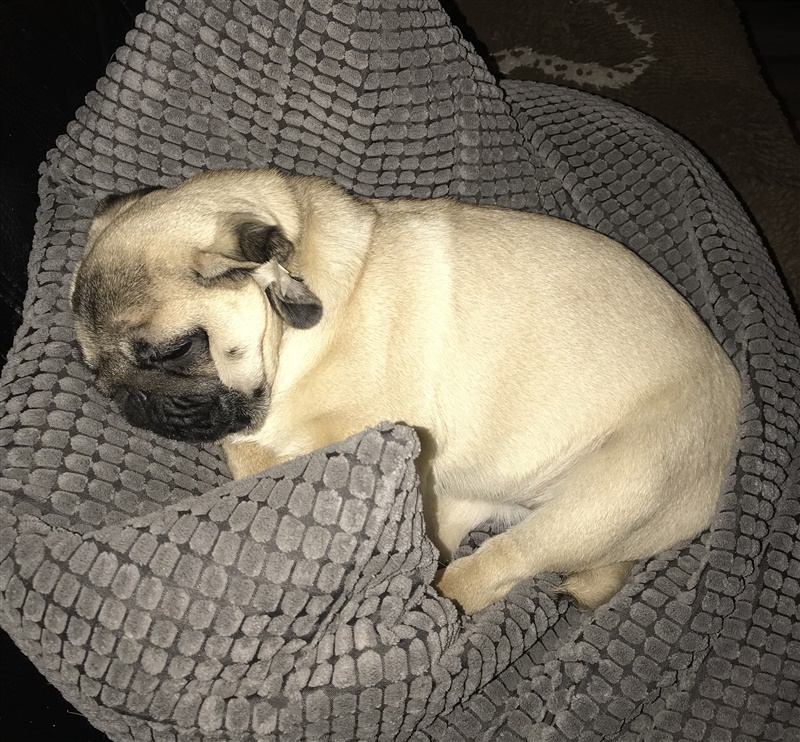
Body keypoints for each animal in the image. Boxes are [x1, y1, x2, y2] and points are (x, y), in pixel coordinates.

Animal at [71, 169, 741, 614]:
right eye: (96, 375)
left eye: (173, 351)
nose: (132, 400)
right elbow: (249, 446)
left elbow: (265, 448)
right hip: (466, 492)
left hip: (607, 496)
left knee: (492, 571)